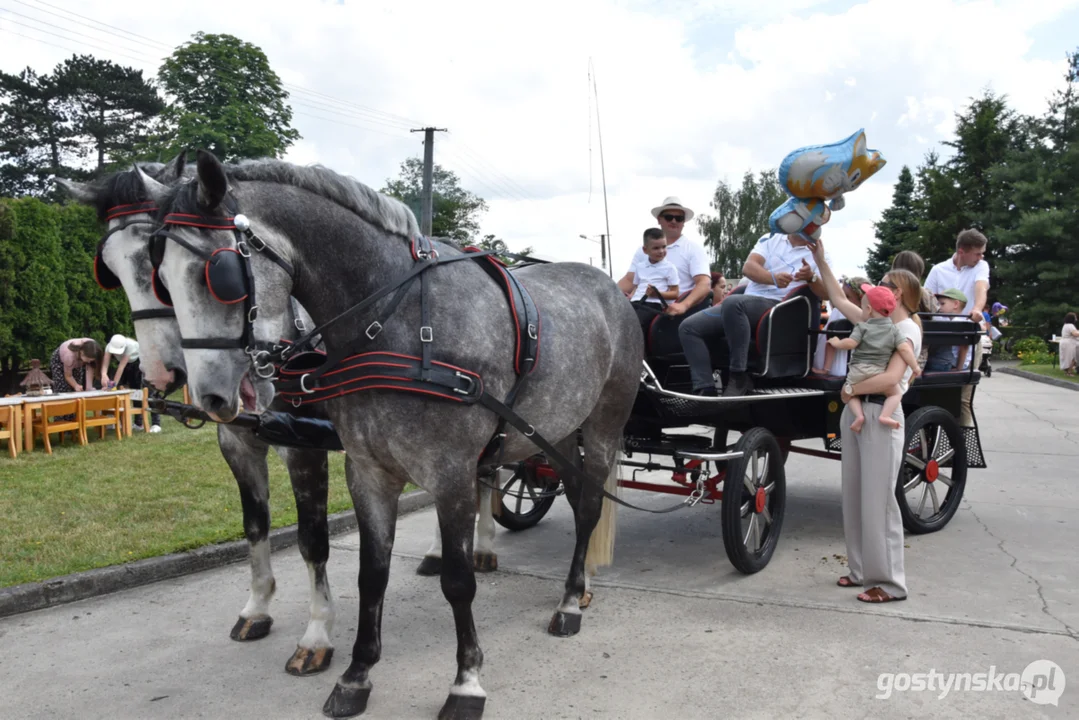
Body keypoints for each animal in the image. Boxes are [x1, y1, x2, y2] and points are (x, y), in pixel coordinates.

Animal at [137, 151, 638, 720]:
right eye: (158, 276)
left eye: (218, 273)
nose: (210, 396)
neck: (394, 323)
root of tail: (612, 291)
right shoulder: (368, 471)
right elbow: (370, 574)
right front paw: (356, 675)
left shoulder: (451, 473)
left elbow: (458, 581)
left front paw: (466, 683)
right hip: (559, 432)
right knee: (576, 498)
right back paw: (582, 587)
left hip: (602, 427)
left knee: (589, 509)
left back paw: (571, 601)